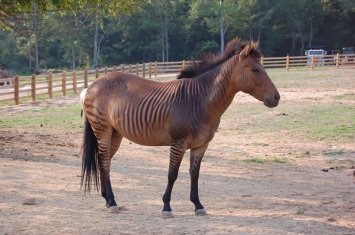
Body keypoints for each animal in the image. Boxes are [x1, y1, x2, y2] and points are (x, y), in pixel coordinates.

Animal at [81, 37, 280, 218]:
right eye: (255, 69)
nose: (277, 97)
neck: (198, 101)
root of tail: (91, 86)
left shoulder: (201, 145)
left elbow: (195, 174)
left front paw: (198, 205)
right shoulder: (178, 143)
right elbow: (172, 174)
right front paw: (166, 207)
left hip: (115, 133)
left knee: (104, 161)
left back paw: (108, 200)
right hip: (103, 130)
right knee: (104, 161)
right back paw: (112, 202)